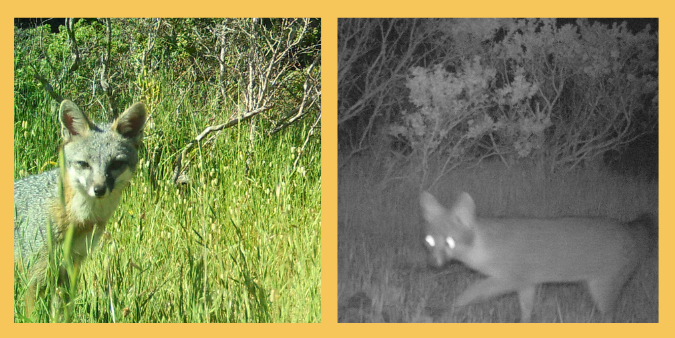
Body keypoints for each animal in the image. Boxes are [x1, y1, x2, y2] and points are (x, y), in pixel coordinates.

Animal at [13, 99, 147, 316]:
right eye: (84, 164)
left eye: (116, 164)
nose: (99, 189)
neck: (76, 219)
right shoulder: (34, 271)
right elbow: (31, 314)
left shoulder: (71, 265)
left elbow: (62, 312)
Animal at [420, 190, 656, 322]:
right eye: (429, 241)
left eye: (449, 242)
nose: (432, 264)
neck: (487, 245)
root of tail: (629, 228)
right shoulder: (527, 284)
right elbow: (526, 311)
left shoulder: (508, 280)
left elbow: (468, 294)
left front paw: (442, 310)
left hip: (602, 292)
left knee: (611, 317)